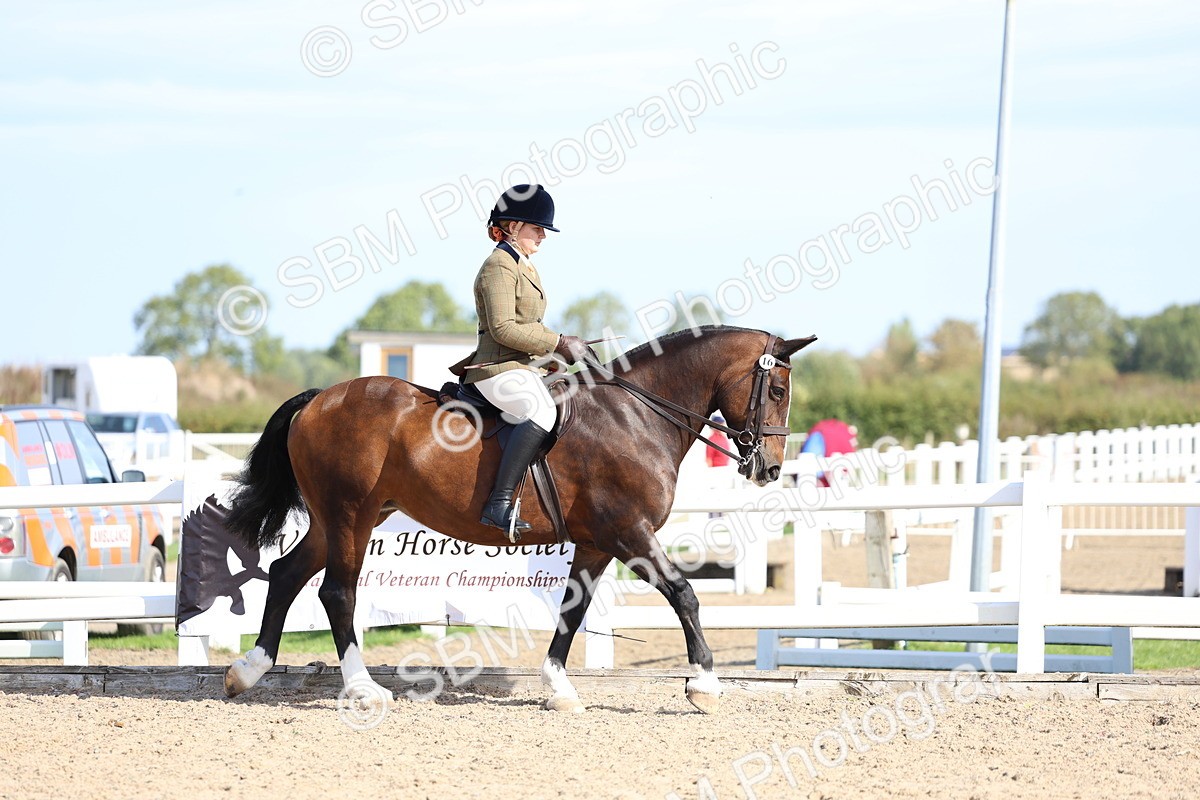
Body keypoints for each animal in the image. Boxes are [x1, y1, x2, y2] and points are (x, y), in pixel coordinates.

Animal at [221, 325, 815, 713]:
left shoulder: (598, 543)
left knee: (287, 574)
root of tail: (319, 399)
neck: (635, 417)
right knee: (337, 592)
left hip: (335, 519)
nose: (770, 468)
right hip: (351, 516)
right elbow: (684, 594)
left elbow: (573, 610)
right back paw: (363, 688)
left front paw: (559, 689)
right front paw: (704, 685)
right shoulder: (631, 533)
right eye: (778, 390)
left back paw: (247, 671)